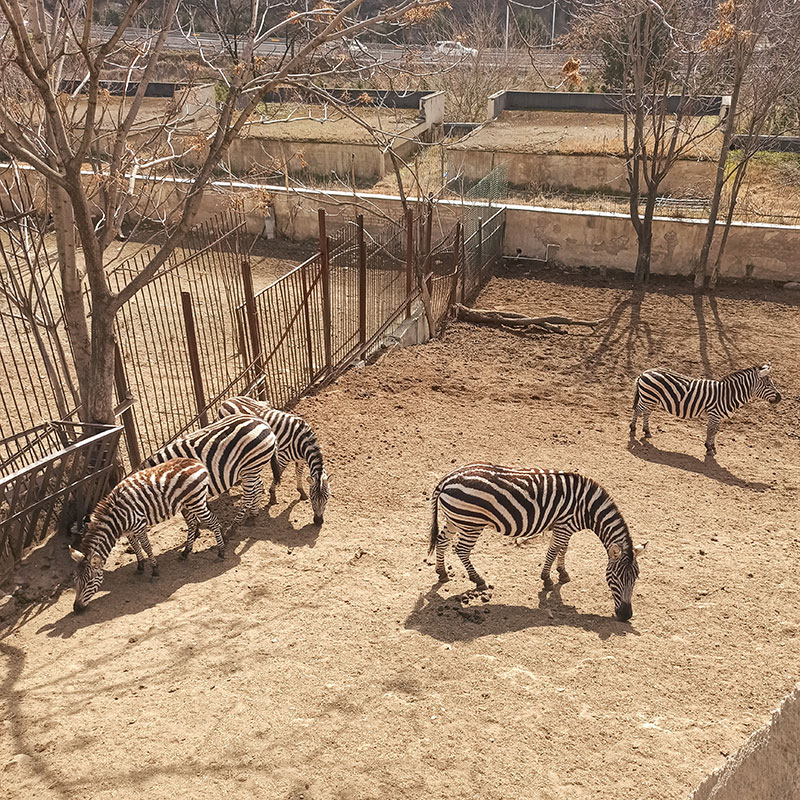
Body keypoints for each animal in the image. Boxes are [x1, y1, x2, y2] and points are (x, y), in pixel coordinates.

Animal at [70, 456, 223, 612]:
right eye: (75, 580)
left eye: (89, 582)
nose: (76, 608)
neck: (116, 520)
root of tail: (196, 461)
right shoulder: (129, 531)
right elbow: (135, 546)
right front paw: (140, 566)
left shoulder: (139, 526)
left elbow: (146, 547)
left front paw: (154, 570)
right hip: (187, 504)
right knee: (192, 524)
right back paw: (186, 552)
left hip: (196, 502)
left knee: (214, 522)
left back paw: (221, 552)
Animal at [142, 416, 280, 528]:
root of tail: (263, 423)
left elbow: (190, 516)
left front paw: (197, 530)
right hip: (251, 468)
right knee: (258, 486)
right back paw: (252, 515)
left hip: (251, 466)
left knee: (249, 494)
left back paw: (233, 527)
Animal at [217, 396, 330, 524]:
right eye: (313, 498)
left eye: (327, 498)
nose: (318, 521)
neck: (302, 442)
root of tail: (226, 401)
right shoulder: (282, 457)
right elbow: (278, 474)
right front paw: (272, 496)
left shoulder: (301, 459)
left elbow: (299, 473)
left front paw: (301, 491)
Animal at [428, 462, 648, 624]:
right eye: (617, 578)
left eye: (636, 577)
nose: (626, 615)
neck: (587, 507)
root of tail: (446, 480)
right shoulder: (564, 525)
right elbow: (554, 550)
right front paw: (547, 578)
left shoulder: (564, 527)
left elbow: (563, 549)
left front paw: (562, 573)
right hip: (471, 522)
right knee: (461, 549)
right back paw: (478, 579)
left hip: (456, 519)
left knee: (442, 540)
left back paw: (442, 572)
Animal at [628, 362, 780, 456]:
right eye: (768, 384)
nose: (780, 398)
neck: (729, 394)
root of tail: (645, 372)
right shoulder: (714, 414)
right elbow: (710, 431)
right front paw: (709, 448)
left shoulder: (719, 417)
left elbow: (715, 432)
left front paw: (712, 447)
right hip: (648, 397)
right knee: (638, 410)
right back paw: (633, 428)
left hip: (651, 399)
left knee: (646, 413)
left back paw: (647, 431)